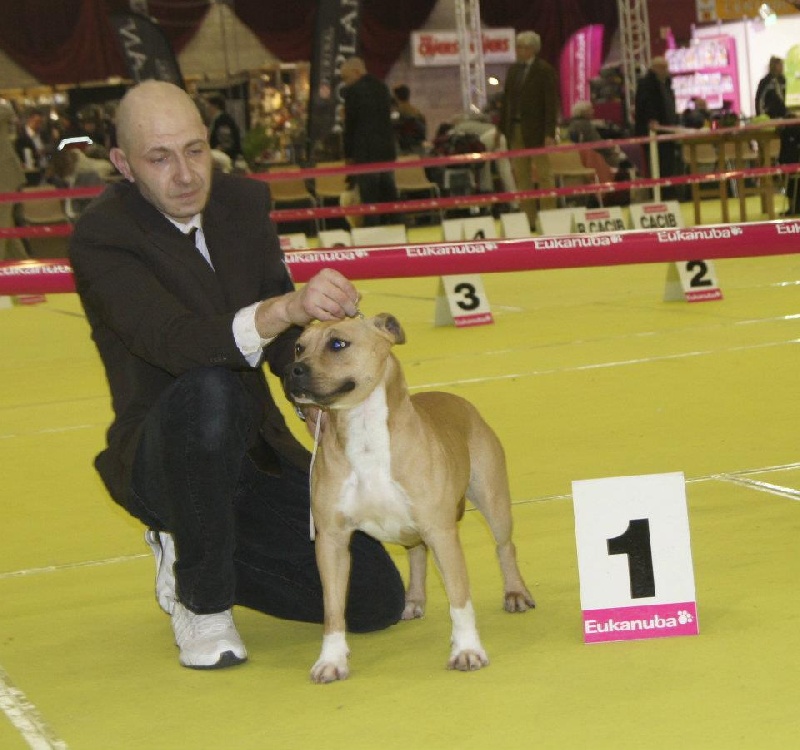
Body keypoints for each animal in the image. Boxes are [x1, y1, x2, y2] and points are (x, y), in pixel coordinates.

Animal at [285, 313, 534, 683]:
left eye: (338, 344)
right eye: (299, 346)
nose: (292, 370)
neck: (365, 435)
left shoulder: (442, 533)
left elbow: (460, 598)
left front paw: (467, 650)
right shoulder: (331, 539)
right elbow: (332, 608)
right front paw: (331, 660)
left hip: (493, 501)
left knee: (505, 546)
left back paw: (516, 593)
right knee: (416, 553)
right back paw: (413, 600)